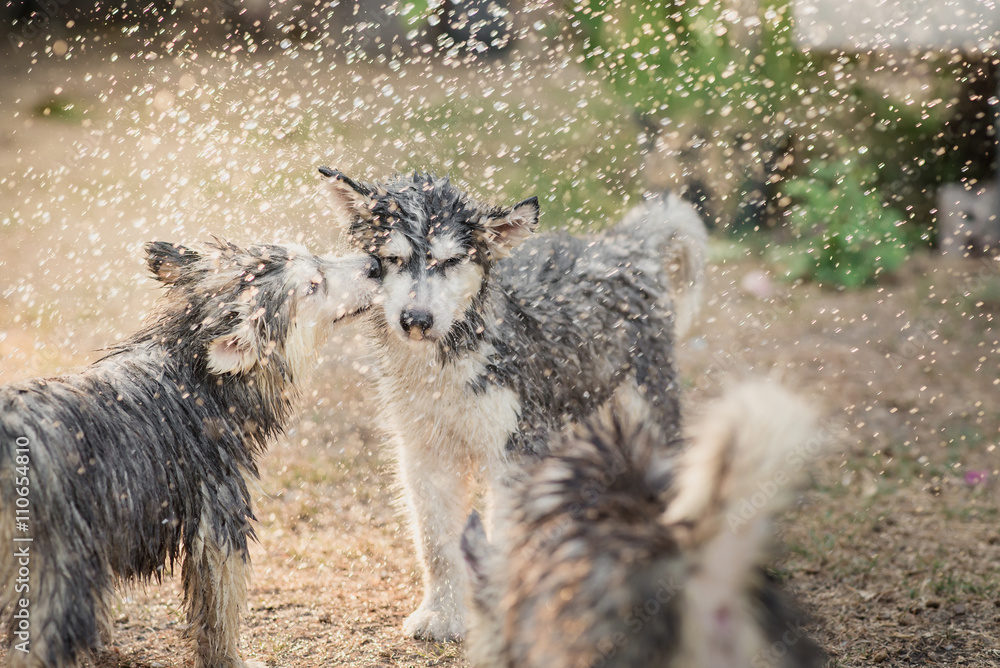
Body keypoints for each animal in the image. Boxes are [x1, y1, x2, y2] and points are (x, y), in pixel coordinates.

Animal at [0, 240, 378, 668]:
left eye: (313, 255)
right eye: (314, 285)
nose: (375, 264)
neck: (195, 375)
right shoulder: (219, 510)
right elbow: (220, 605)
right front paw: (229, 659)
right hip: (55, 566)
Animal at [320, 166, 712, 636]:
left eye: (450, 262)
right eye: (393, 259)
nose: (415, 320)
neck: (450, 364)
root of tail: (621, 242)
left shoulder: (515, 451)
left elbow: (505, 536)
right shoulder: (425, 453)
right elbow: (437, 544)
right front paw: (443, 613)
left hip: (644, 410)